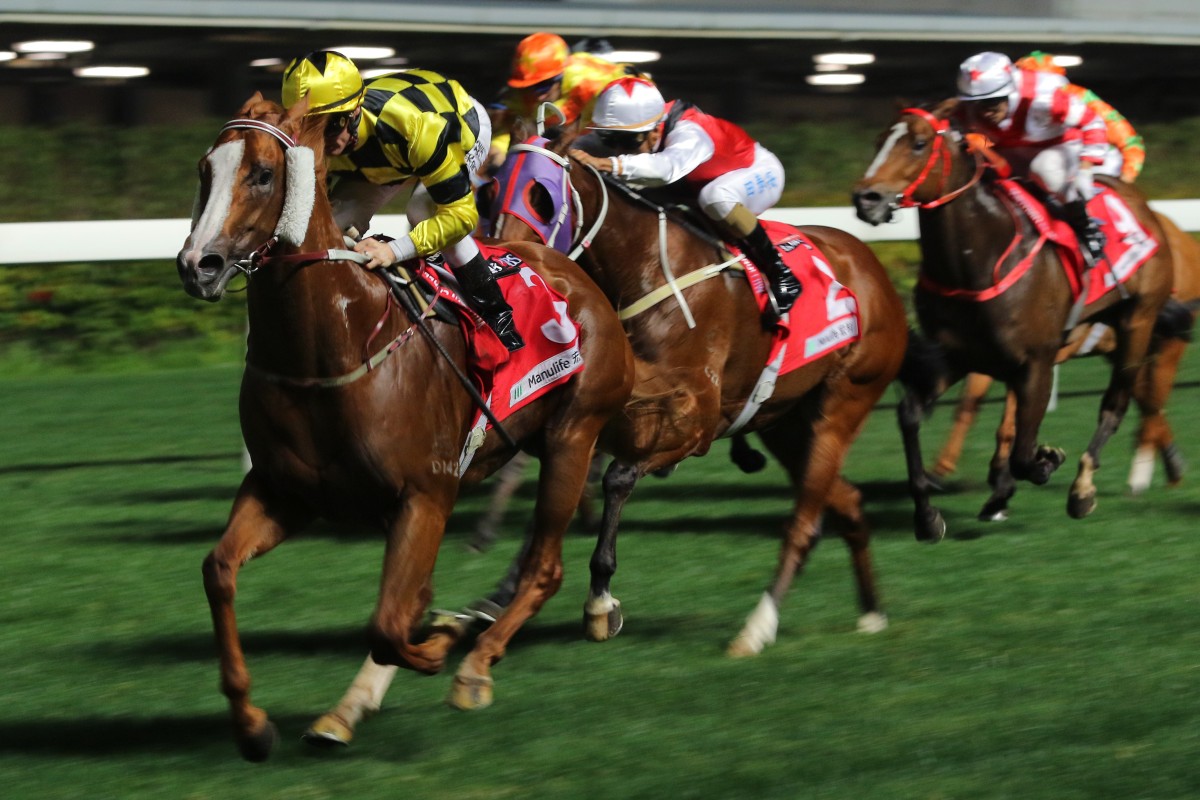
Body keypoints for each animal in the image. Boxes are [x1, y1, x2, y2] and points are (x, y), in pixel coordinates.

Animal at [176, 95, 633, 762]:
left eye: (262, 174)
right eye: (206, 170)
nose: (198, 265)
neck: (329, 348)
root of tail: (570, 270)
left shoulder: (426, 493)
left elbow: (392, 625)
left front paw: (443, 644)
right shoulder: (284, 491)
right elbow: (219, 571)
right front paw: (252, 724)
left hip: (573, 436)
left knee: (544, 567)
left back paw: (477, 665)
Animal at [849, 100, 1176, 525]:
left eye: (919, 143)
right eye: (878, 141)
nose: (866, 198)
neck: (976, 261)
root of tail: (1142, 204)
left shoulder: (1036, 360)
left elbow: (1024, 452)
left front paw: (1045, 461)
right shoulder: (956, 356)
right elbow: (910, 414)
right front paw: (927, 512)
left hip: (1137, 320)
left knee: (1115, 403)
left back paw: (1083, 487)